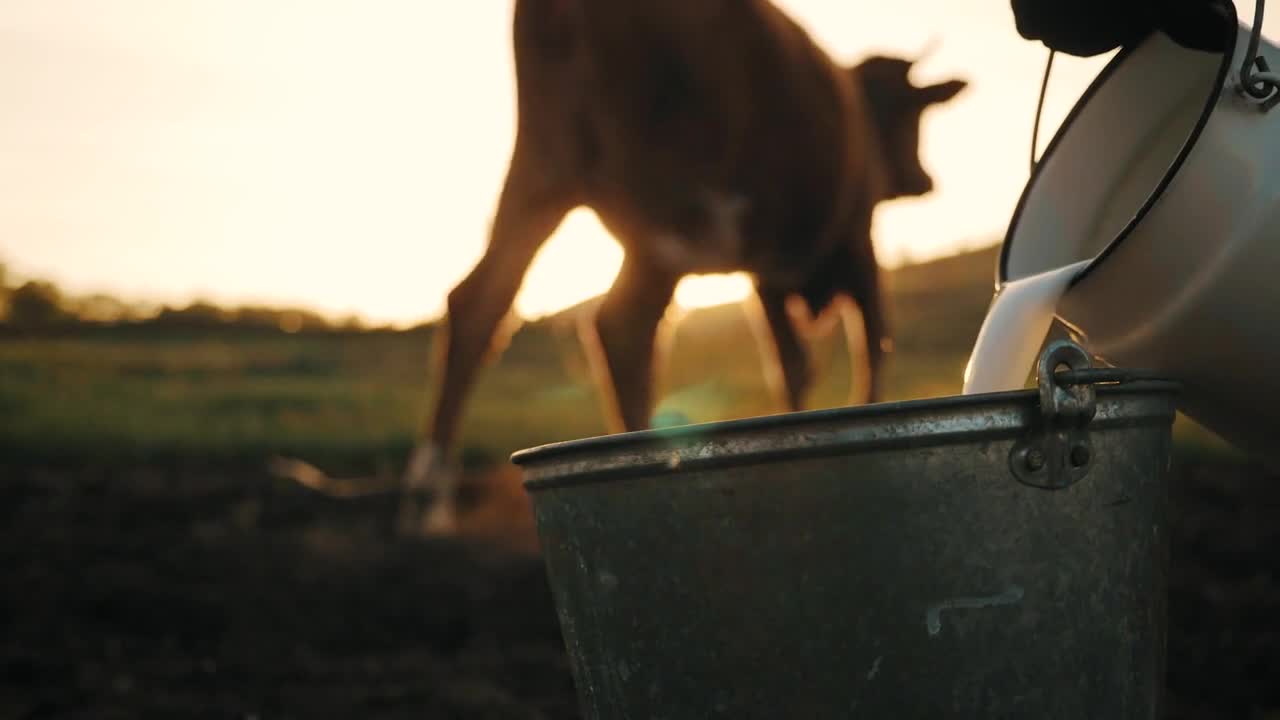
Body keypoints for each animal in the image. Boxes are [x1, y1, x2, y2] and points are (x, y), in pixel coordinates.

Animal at [394, 0, 962, 532]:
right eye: (913, 114)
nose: (923, 181)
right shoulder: (854, 247)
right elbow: (867, 348)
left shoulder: (768, 275)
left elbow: (793, 364)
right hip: (667, 198)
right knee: (621, 324)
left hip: (542, 169)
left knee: (478, 302)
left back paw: (428, 499)